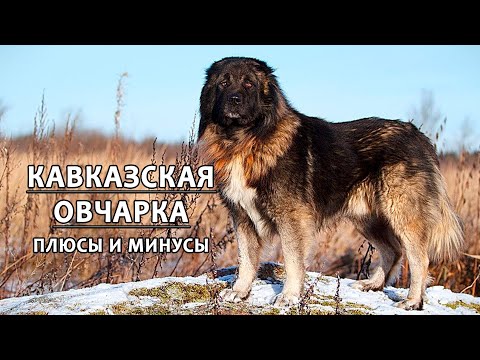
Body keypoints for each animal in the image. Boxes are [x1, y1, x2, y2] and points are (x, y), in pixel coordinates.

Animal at [197, 56, 464, 310]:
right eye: (223, 83)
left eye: (249, 84)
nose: (234, 99)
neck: (245, 140)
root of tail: (418, 135)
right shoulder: (242, 216)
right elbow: (246, 259)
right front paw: (240, 291)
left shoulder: (291, 218)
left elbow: (292, 260)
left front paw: (289, 296)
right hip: (367, 218)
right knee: (393, 250)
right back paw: (373, 284)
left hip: (401, 212)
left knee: (419, 257)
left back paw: (412, 301)